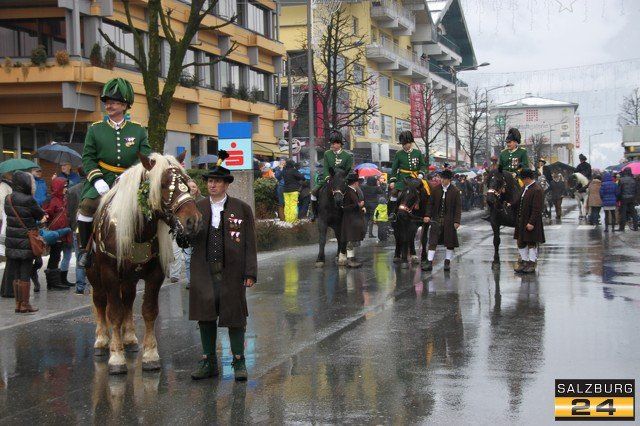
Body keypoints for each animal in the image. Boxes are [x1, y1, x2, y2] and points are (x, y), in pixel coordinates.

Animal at [87, 152, 202, 375]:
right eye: (163, 185)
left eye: (186, 182)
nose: (193, 221)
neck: (136, 230)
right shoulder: (109, 273)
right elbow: (114, 312)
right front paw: (116, 356)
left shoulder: (154, 274)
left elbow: (149, 310)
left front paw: (150, 354)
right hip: (94, 274)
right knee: (100, 301)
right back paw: (102, 339)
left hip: (129, 278)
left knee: (128, 300)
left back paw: (130, 337)